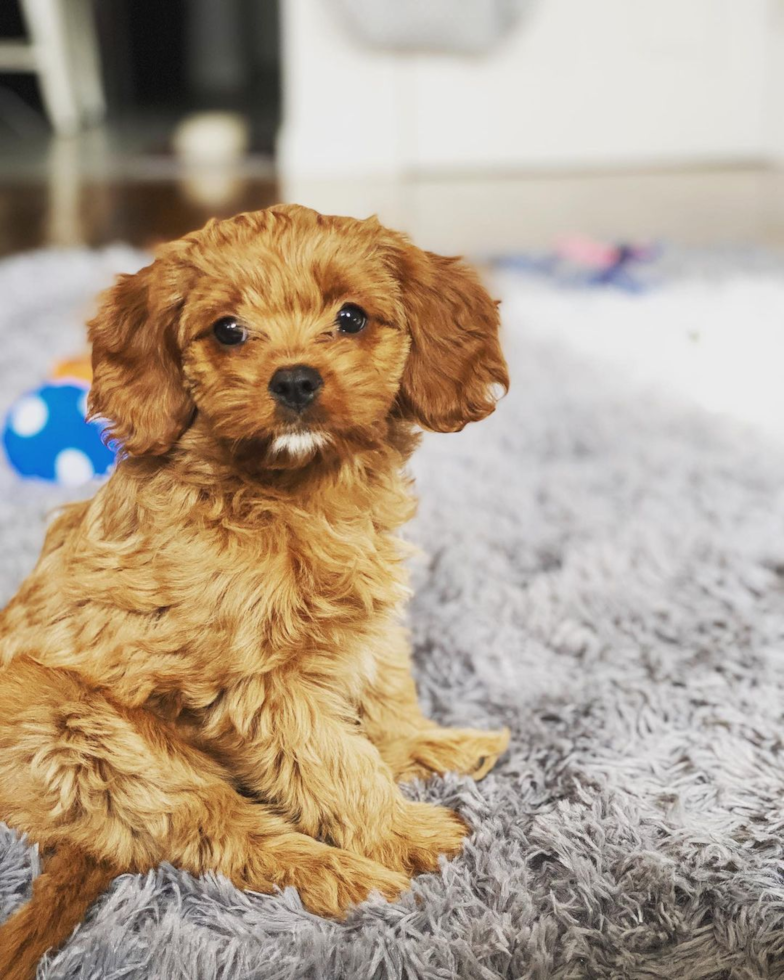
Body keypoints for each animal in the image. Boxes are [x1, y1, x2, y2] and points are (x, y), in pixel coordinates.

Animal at [0, 203, 508, 976]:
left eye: (351, 317)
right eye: (228, 330)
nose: (294, 381)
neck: (295, 489)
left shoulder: (367, 622)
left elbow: (385, 697)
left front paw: (425, 743)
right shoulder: (256, 683)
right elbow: (336, 764)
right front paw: (402, 833)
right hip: (92, 738)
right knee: (221, 834)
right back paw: (351, 877)